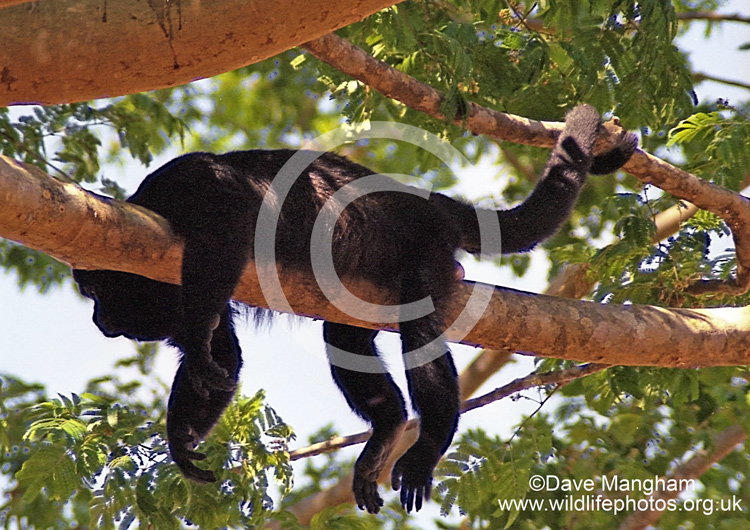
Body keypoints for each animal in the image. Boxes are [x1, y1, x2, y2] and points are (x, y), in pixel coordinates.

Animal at [73, 104, 636, 512]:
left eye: (99, 294)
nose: (99, 323)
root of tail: (428, 202)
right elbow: (222, 357)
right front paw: (182, 442)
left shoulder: (188, 181)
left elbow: (229, 213)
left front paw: (194, 333)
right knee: (343, 339)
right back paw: (388, 425)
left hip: (425, 250)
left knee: (419, 336)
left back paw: (431, 439)